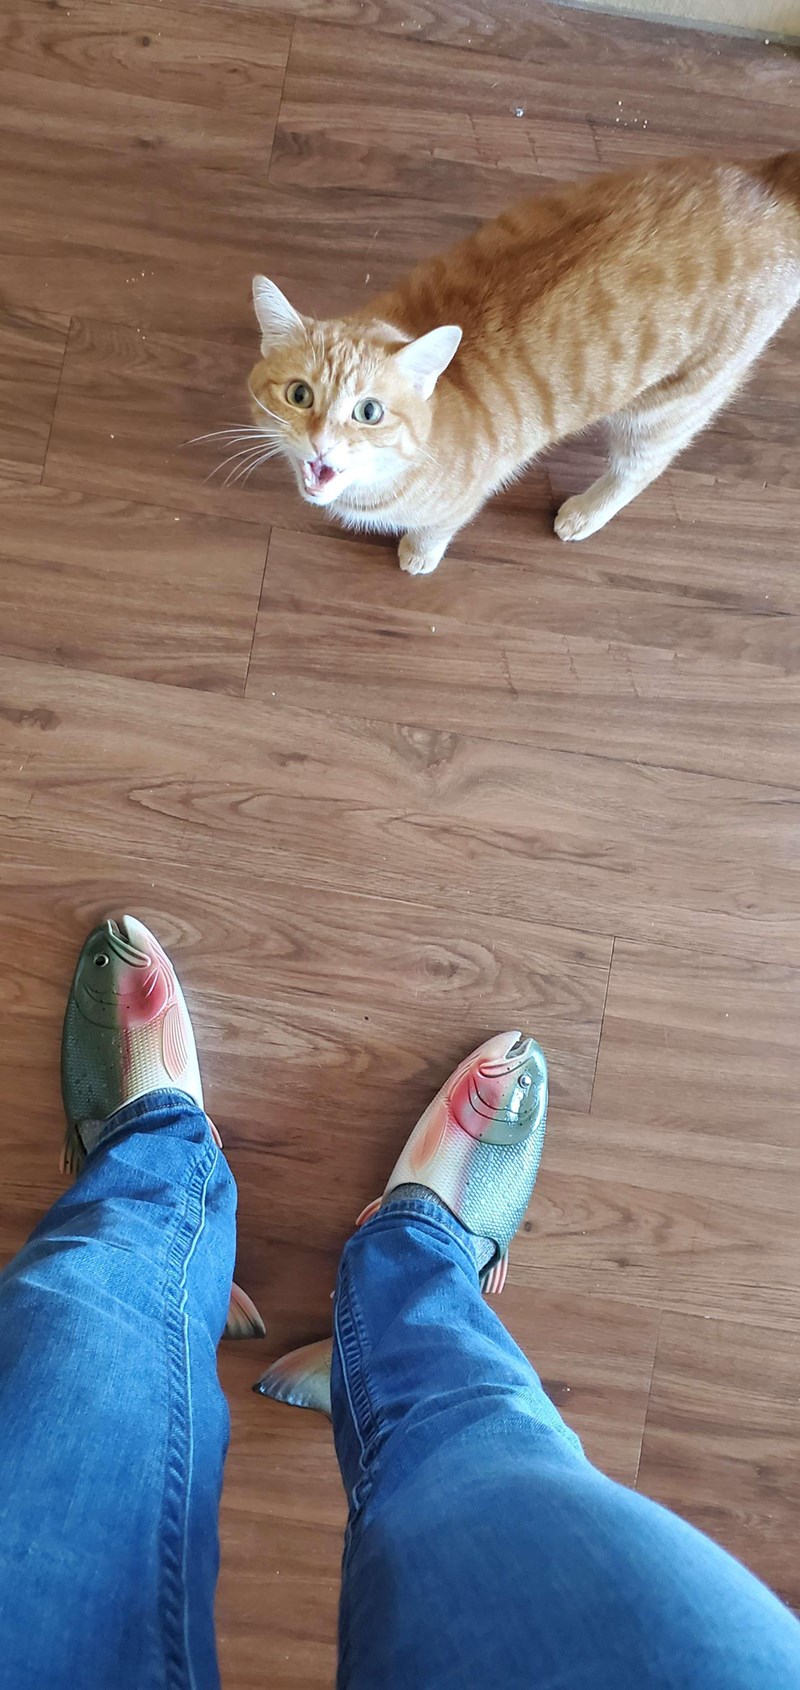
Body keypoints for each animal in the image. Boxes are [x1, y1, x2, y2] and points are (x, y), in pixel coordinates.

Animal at [248, 151, 800, 575]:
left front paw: (420, 554)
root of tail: (772, 181)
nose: (320, 442)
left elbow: (438, 527)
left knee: (640, 468)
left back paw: (585, 514)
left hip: (669, 407)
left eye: (369, 412)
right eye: (299, 395)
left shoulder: (464, 498)